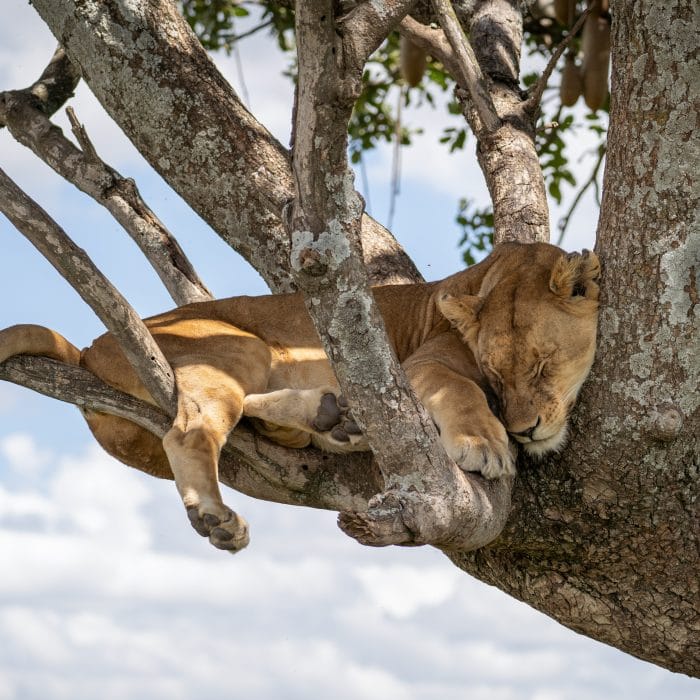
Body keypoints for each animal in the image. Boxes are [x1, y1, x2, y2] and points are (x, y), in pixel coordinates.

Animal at [0, 242, 600, 552]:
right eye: (497, 375)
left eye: (542, 364)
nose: (524, 430)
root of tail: (88, 347)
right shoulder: (416, 365)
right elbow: (460, 388)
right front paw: (485, 443)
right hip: (239, 345)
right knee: (190, 428)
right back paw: (218, 515)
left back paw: (331, 418)